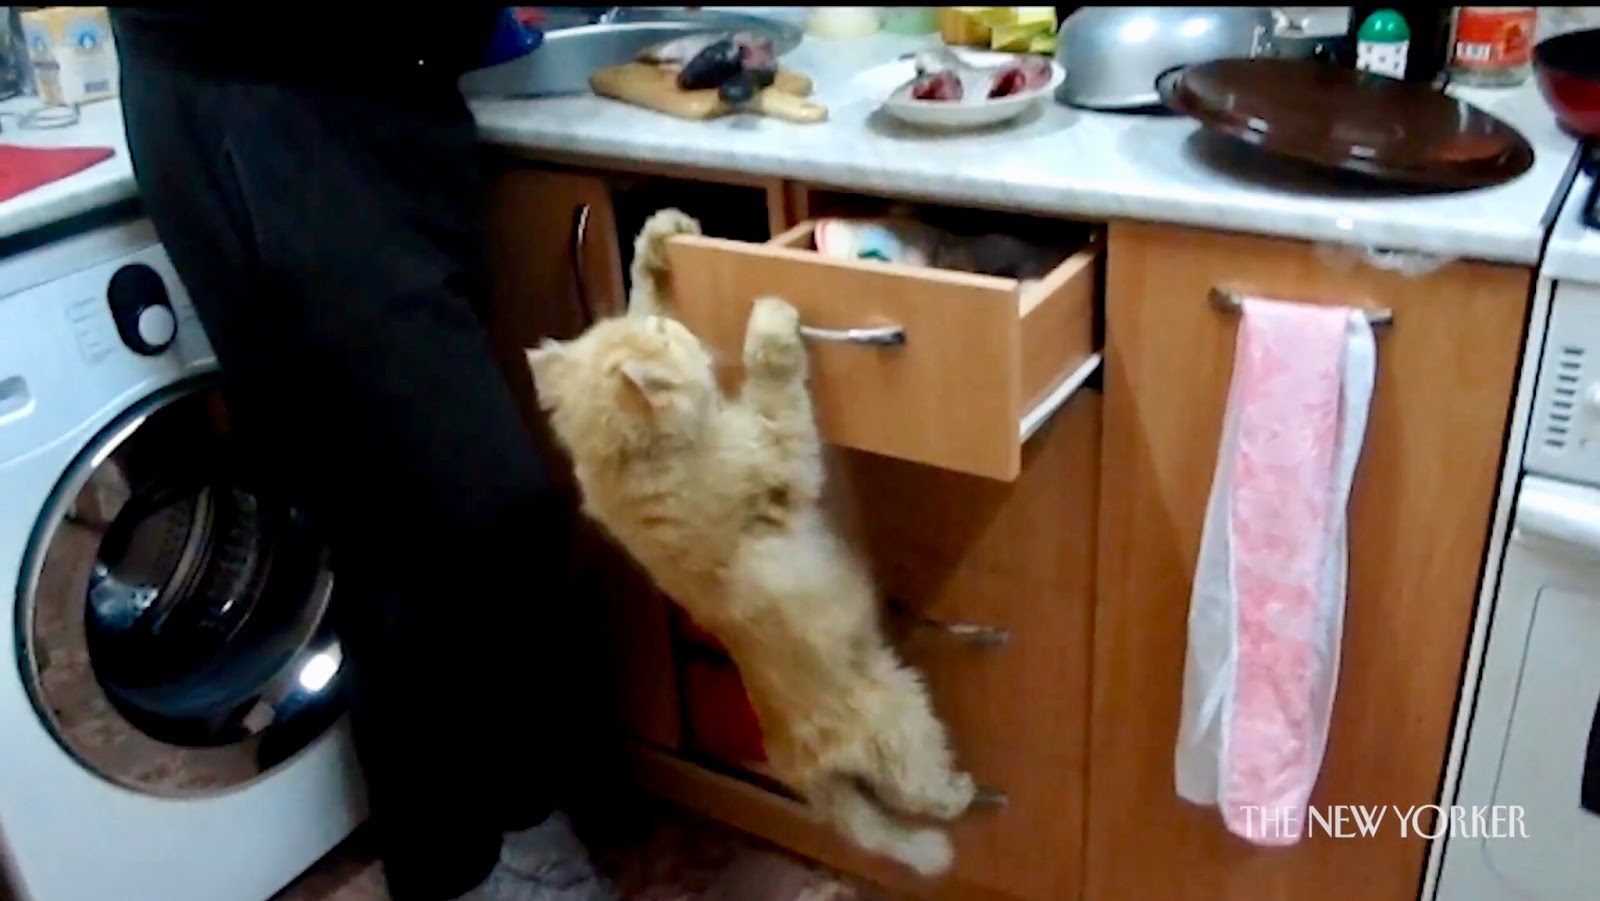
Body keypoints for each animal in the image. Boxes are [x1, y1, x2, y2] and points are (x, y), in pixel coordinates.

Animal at [525, 209, 977, 877]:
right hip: (903, 713)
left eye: (665, 326)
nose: (684, 333)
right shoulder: (780, 449)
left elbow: (641, 290)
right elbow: (773, 373)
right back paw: (961, 794)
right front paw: (769, 319)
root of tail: (802, 775)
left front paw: (660, 239)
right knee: (917, 791)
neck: (641, 465)